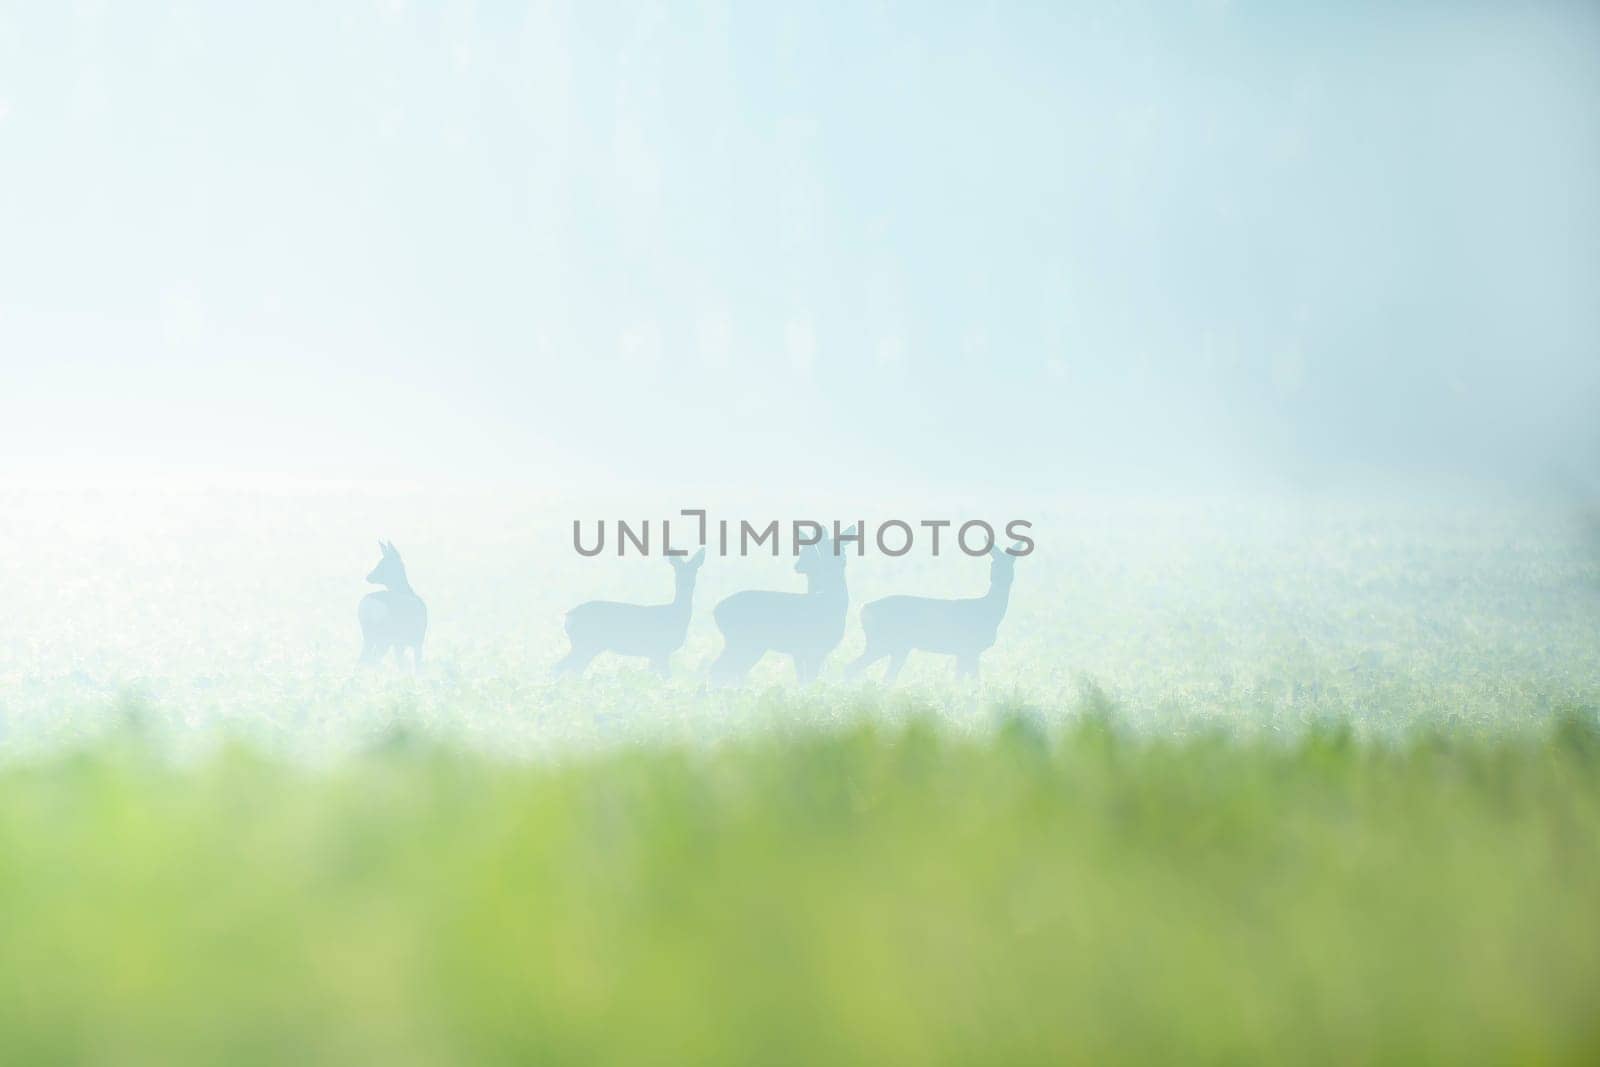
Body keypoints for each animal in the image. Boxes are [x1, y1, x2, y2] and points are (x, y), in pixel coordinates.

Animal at [556, 547, 707, 681]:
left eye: (695, 570)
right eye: (678, 570)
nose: (688, 583)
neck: (677, 615)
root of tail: (569, 616)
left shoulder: (654, 654)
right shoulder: (661, 650)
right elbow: (666, 677)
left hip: (586, 646)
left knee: (572, 669)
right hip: (586, 643)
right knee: (562, 667)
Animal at [713, 527, 857, 684]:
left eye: (843, 548)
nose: (843, 560)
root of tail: (716, 611)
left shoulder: (804, 651)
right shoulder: (811, 649)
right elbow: (807, 680)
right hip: (741, 641)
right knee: (719, 669)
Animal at [851, 543, 1024, 684]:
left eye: (1012, 563)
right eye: (993, 563)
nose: (1002, 578)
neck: (990, 612)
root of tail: (863, 609)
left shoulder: (968, 652)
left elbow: (970, 682)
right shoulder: (966, 649)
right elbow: (964, 682)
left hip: (895, 647)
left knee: (882, 676)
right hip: (883, 642)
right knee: (854, 668)